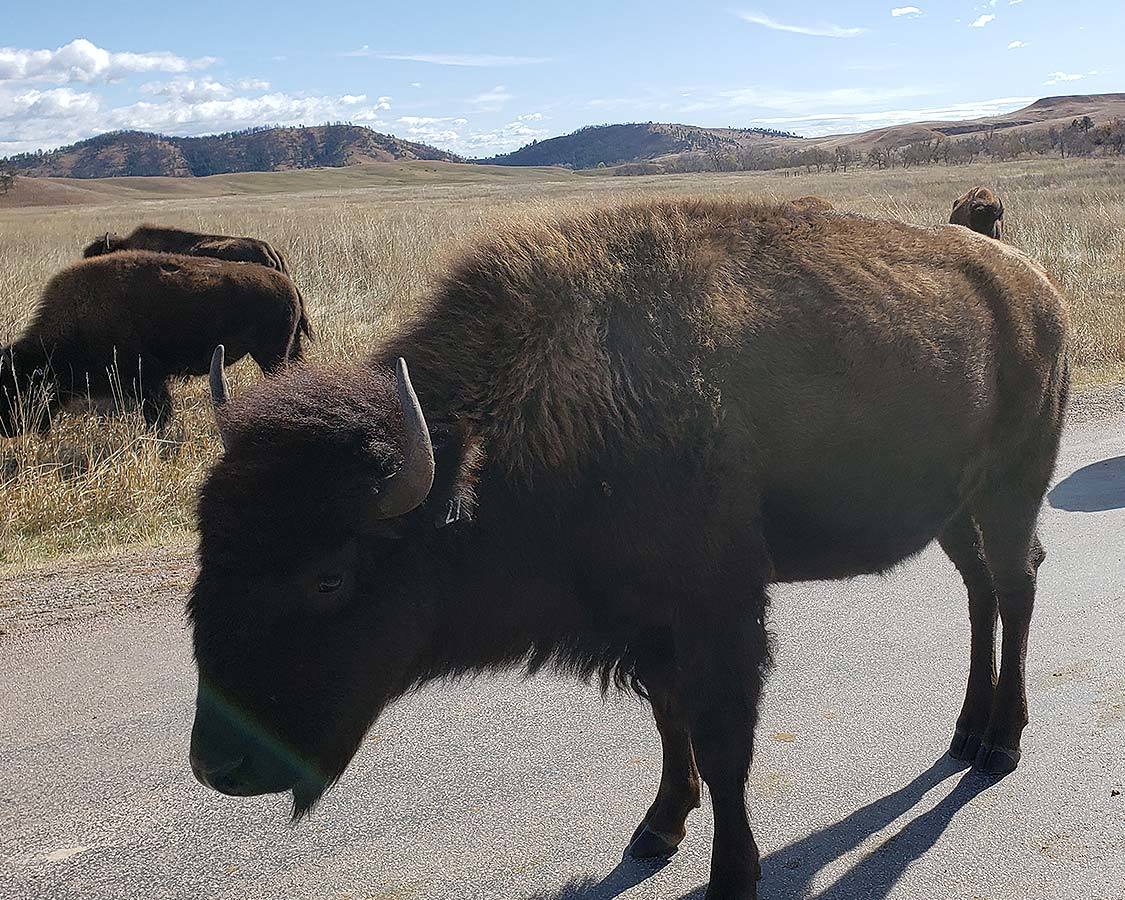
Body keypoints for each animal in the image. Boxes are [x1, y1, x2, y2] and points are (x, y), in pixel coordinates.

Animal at [1, 247, 308, 434]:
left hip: (271, 355)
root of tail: (289, 284)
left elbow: (157, 414)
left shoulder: (149, 380)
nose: (7, 429)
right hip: (285, 351)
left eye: (15, 388)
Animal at [189, 199, 1066, 900]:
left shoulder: (719, 610)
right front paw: (657, 829)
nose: (216, 769)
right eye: (206, 550)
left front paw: (730, 876)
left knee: (1016, 585)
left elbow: (723, 742)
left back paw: (999, 743)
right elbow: (669, 720)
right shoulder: (648, 625)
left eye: (329, 577)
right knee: (980, 591)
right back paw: (964, 730)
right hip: (952, 510)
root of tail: (1036, 286)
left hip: (1011, 485)